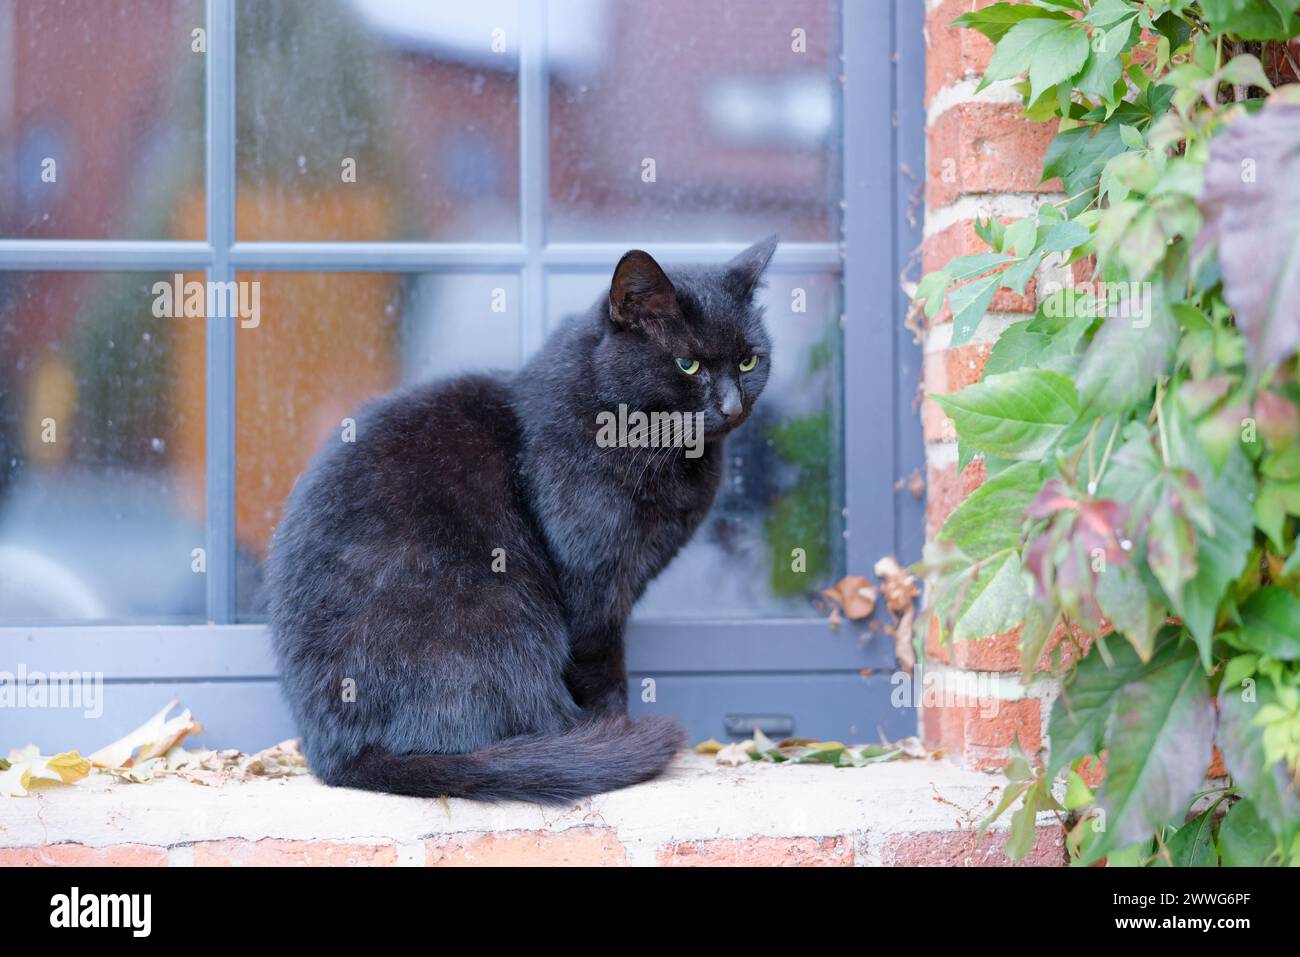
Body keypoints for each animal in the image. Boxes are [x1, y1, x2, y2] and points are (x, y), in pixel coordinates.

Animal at [262, 234, 769, 800]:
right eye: (687, 365)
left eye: (749, 361)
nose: (733, 406)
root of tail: (341, 758)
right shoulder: (592, 584)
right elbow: (603, 666)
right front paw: (614, 723)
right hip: (504, 611)